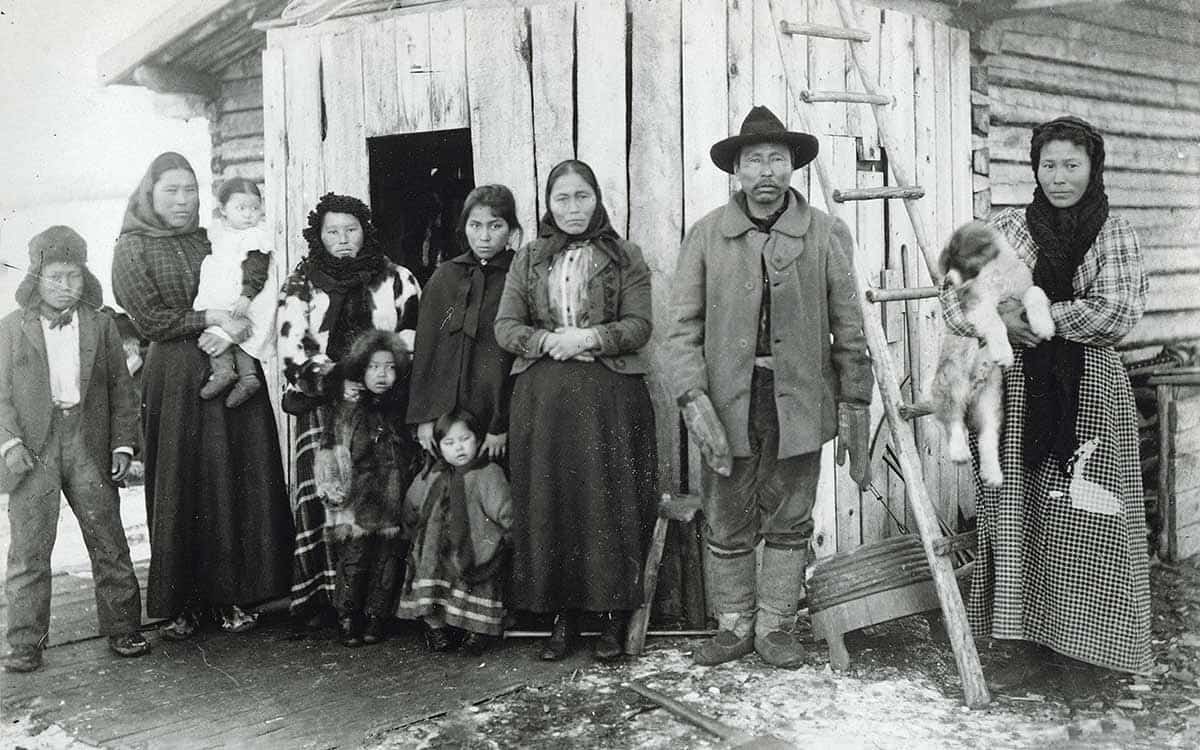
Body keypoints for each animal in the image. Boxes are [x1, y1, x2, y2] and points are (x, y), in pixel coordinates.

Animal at [931, 219, 1056, 489]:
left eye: (959, 260)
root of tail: (972, 391)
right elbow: (996, 322)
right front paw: (1003, 352)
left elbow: (1036, 292)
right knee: (953, 421)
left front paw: (1044, 324)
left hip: (991, 401)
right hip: (951, 381)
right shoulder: (978, 305)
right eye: (947, 263)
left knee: (987, 437)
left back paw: (993, 474)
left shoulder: (1022, 289)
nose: (946, 283)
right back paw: (959, 453)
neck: (994, 274)